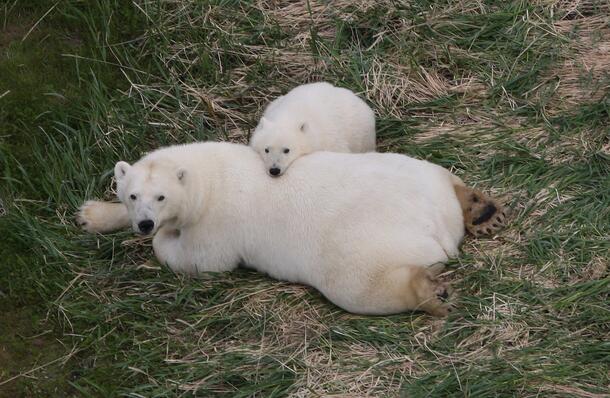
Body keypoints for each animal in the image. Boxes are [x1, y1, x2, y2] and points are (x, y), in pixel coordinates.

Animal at [77, 141, 504, 316]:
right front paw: (90, 214)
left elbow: (202, 260)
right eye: (133, 195)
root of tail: (437, 226)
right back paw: (480, 210)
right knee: (442, 174)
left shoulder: (218, 224)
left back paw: (431, 293)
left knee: (363, 285)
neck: (209, 174)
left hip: (362, 246)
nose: (145, 223)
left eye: (161, 197)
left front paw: (163, 239)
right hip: (414, 171)